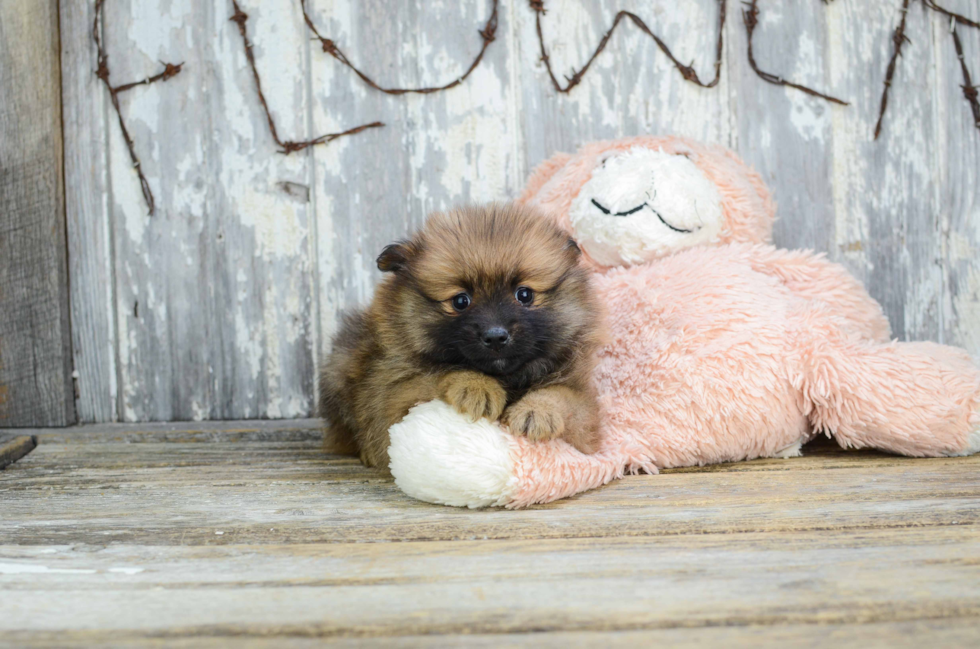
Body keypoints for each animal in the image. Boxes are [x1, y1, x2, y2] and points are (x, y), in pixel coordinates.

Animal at [318, 204, 600, 470]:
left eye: (524, 295)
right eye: (460, 301)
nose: (495, 336)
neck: (506, 378)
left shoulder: (587, 425)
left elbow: (564, 396)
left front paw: (537, 411)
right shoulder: (392, 402)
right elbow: (435, 375)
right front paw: (475, 386)